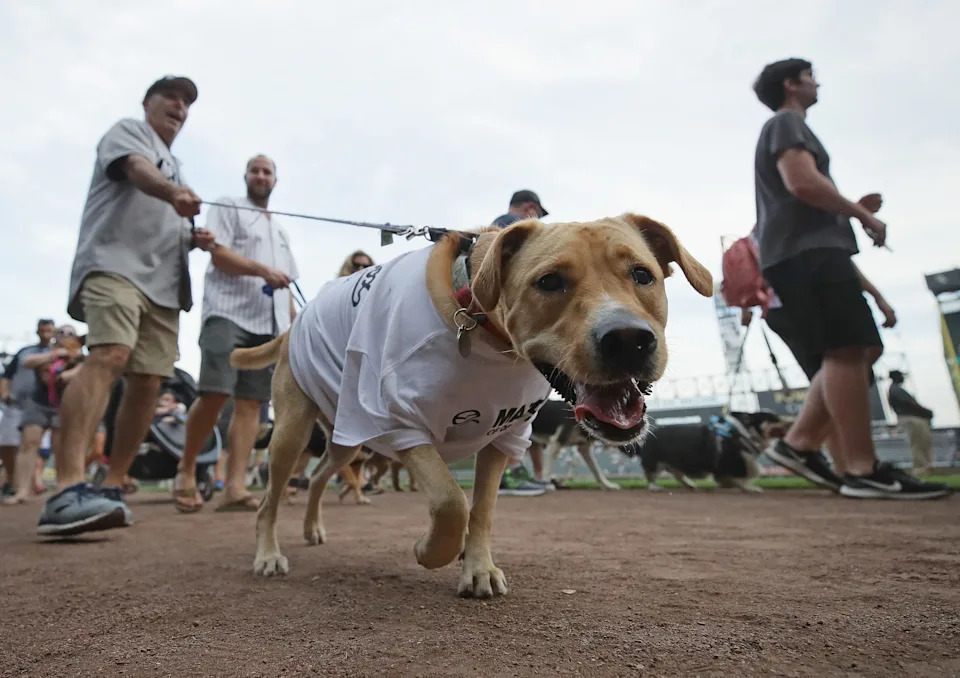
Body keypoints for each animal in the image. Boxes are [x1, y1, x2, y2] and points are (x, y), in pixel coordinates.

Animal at [231, 214, 712, 598]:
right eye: (549, 281)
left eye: (642, 275)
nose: (628, 339)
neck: (481, 327)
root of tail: (294, 324)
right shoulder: (401, 423)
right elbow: (450, 502)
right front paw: (430, 550)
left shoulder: (505, 435)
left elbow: (481, 510)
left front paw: (478, 568)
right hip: (295, 431)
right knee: (270, 499)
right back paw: (267, 554)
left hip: (348, 435)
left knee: (317, 477)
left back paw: (312, 527)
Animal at [623, 410, 787, 492]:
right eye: (774, 418)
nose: (789, 421)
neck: (744, 434)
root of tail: (644, 440)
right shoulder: (727, 468)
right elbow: (739, 481)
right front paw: (750, 488)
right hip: (654, 463)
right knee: (650, 477)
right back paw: (655, 487)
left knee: (677, 474)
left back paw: (689, 484)